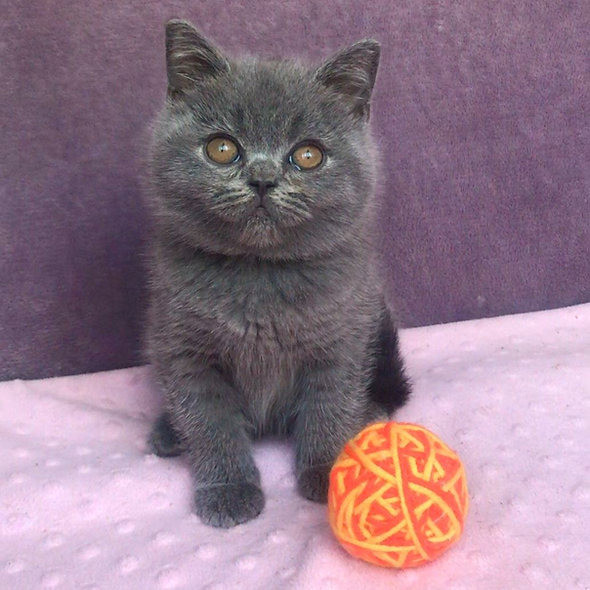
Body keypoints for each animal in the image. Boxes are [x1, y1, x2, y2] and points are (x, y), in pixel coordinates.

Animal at [145, 18, 412, 528]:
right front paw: (228, 489)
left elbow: (330, 405)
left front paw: (328, 473)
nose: (263, 178)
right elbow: (208, 420)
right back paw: (168, 433)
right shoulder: (183, 348)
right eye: (222, 148)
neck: (260, 275)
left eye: (308, 155)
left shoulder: (340, 341)